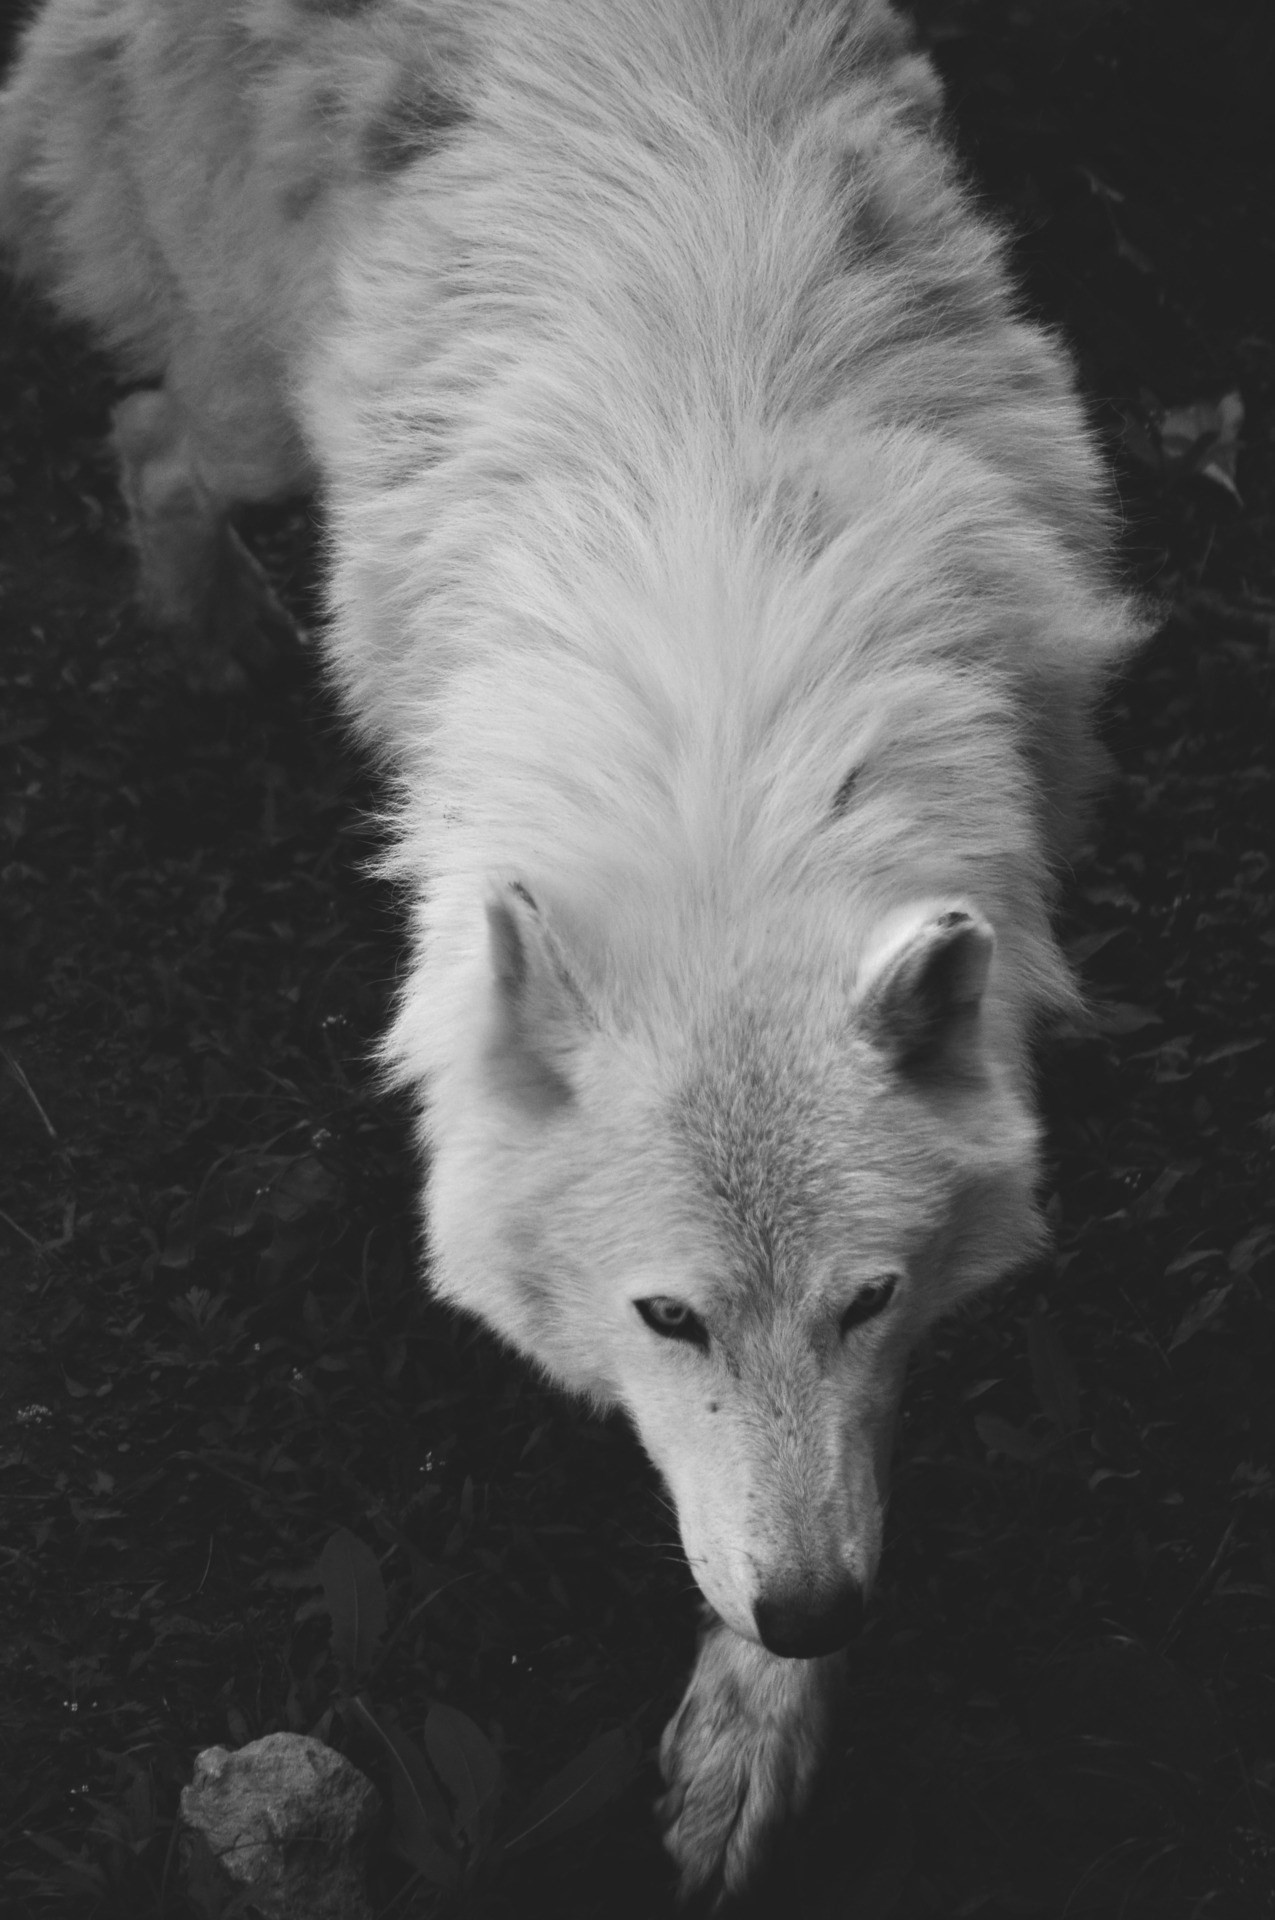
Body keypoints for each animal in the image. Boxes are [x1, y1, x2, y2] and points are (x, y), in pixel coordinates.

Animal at [1, 0, 1145, 1899]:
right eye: (666, 1317)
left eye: (867, 1299)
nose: (816, 1616)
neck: (725, 756)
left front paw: (753, 1735)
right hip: (257, 412)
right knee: (152, 433)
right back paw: (203, 640)